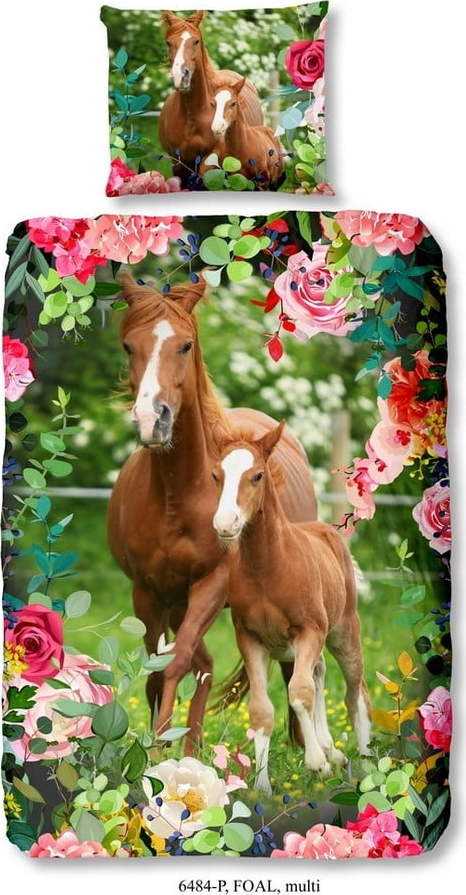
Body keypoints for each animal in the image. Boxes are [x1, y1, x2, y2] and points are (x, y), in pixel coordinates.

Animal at [107, 274, 318, 754]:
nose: (152, 419)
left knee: (278, 666)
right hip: (174, 602)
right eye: (129, 346)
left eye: (185, 345)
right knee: (202, 664)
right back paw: (193, 747)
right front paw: (160, 748)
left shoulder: (212, 583)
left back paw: (300, 747)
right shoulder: (147, 592)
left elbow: (175, 662)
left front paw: (159, 753)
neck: (178, 495)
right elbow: (158, 669)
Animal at [211, 422, 371, 794]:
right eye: (216, 475)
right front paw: (262, 787)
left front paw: (316, 762)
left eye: (256, 476)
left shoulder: (309, 631)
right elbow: (262, 710)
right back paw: (332, 749)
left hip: (344, 631)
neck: (267, 568)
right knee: (320, 673)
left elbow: (299, 693)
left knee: (354, 690)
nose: (225, 524)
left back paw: (367, 761)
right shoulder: (250, 639)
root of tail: (327, 530)